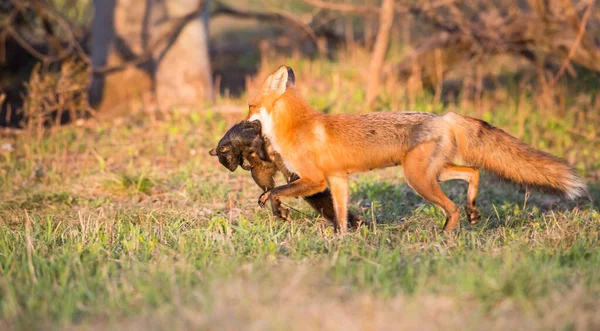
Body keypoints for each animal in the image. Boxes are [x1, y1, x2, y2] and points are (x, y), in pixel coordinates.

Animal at [246, 66, 588, 235]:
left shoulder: (315, 179)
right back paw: (472, 211)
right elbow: (341, 217)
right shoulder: (339, 179)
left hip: (417, 179)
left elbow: (276, 192)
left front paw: (274, 205)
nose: (241, 120)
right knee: (473, 172)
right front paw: (341, 242)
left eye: (249, 106)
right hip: (433, 172)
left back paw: (446, 237)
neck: (299, 125)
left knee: (452, 207)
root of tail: (444, 117)